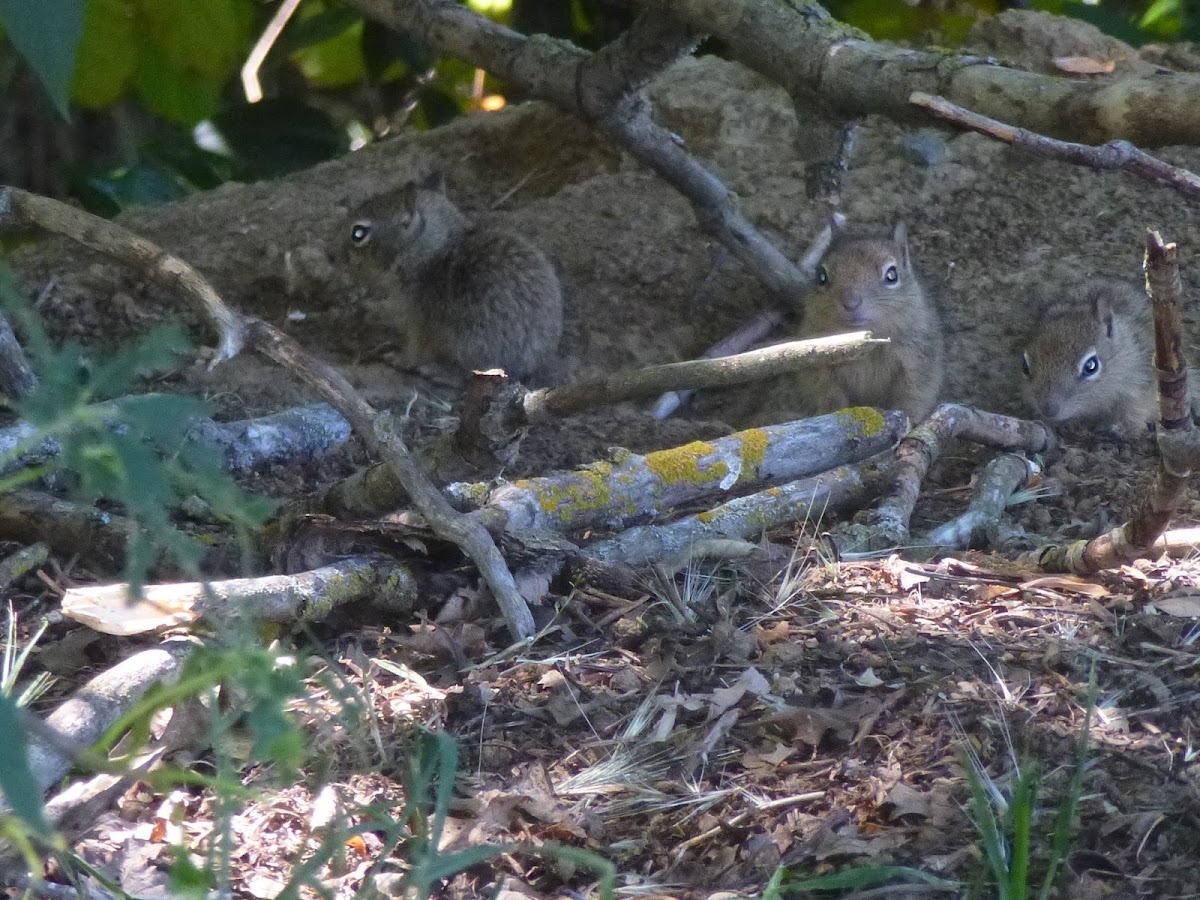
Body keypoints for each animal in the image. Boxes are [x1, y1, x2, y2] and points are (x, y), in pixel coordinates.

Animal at [338, 172, 561, 381]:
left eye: (358, 233)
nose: (339, 256)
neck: (430, 249)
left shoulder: (418, 318)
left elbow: (416, 349)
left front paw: (400, 359)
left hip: (470, 345)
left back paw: (437, 372)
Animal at [768, 224, 945, 424]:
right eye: (821, 276)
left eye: (892, 274)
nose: (851, 303)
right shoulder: (820, 371)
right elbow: (830, 396)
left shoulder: (918, 360)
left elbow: (913, 396)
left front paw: (909, 420)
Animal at [1027, 280, 1185, 439]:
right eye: (1025, 367)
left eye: (1090, 366)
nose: (1048, 410)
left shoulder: (1142, 387)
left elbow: (1135, 412)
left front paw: (1123, 428)